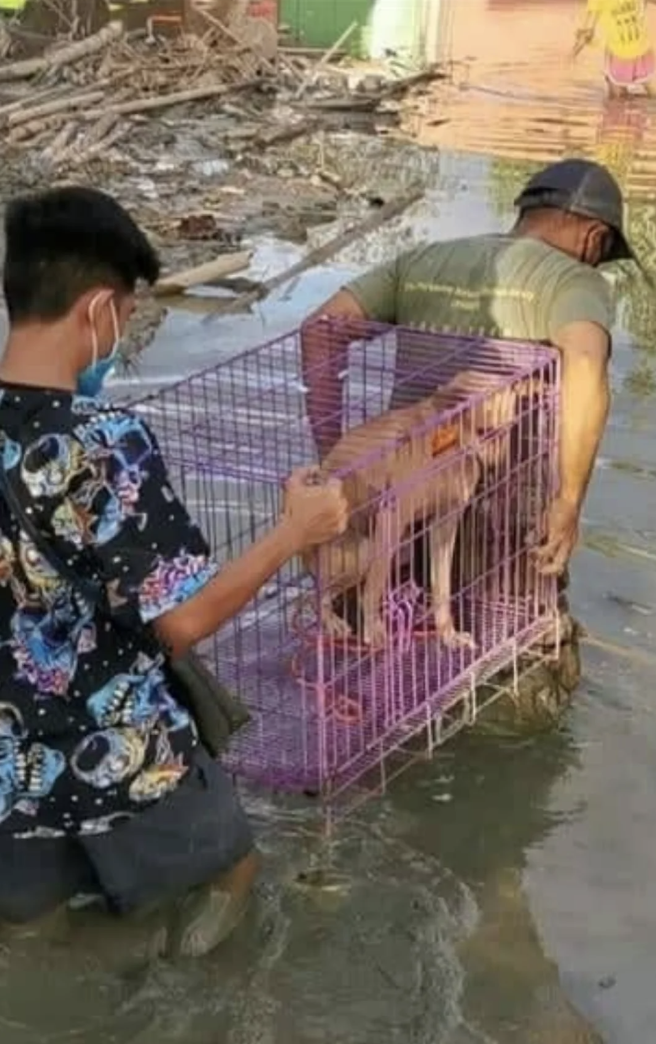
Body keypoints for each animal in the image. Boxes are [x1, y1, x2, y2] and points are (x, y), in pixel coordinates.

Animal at [302, 373, 539, 651]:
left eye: (508, 429)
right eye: (484, 431)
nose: (497, 472)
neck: (447, 445)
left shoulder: (445, 523)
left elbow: (442, 587)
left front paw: (448, 634)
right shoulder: (392, 518)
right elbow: (373, 587)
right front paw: (373, 629)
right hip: (365, 549)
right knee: (319, 594)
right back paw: (333, 621)